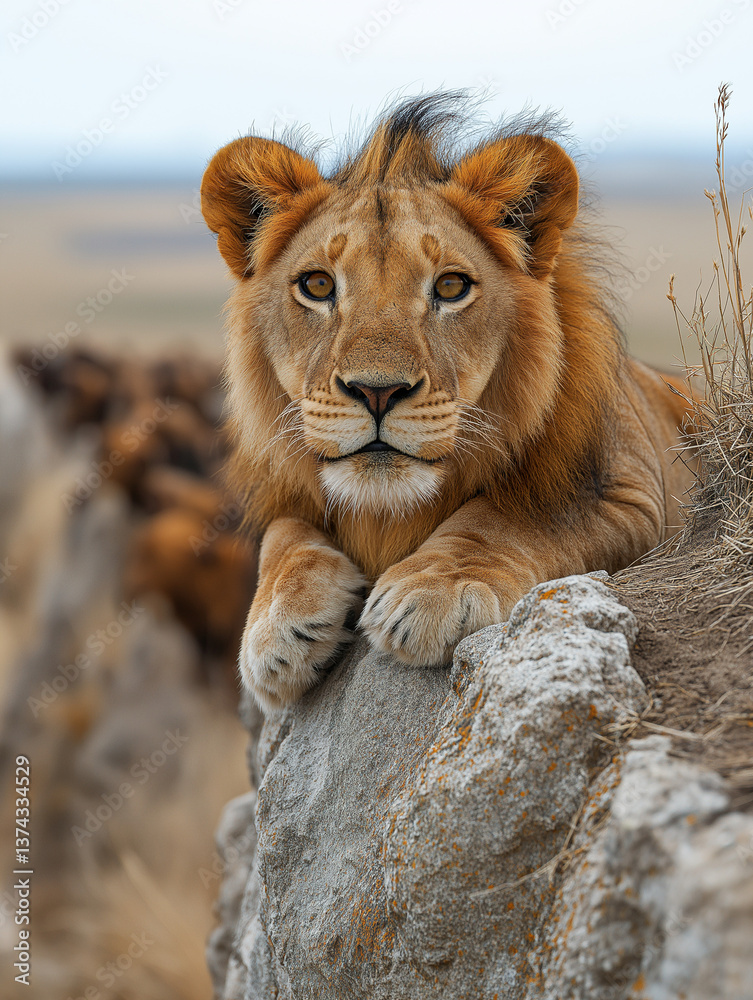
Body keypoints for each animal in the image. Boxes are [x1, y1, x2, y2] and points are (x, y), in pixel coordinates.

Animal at [201, 94, 694, 714]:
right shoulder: (286, 494)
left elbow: (512, 513)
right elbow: (284, 535)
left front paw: (436, 589)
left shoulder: (635, 493)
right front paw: (275, 630)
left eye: (451, 287)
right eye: (317, 286)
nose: (378, 391)